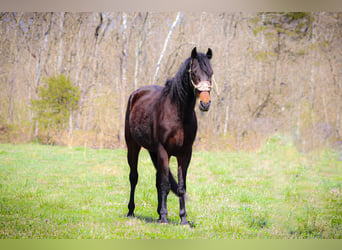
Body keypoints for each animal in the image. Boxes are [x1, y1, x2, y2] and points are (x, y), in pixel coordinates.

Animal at [123, 47, 214, 225]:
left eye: (211, 73)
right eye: (194, 72)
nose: (205, 104)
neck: (177, 113)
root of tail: (135, 95)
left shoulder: (184, 153)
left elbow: (180, 186)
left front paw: (183, 219)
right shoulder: (163, 151)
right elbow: (165, 184)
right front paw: (165, 218)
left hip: (153, 151)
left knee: (157, 179)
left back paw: (158, 213)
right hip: (133, 146)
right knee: (134, 177)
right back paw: (131, 211)